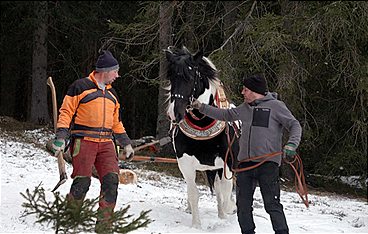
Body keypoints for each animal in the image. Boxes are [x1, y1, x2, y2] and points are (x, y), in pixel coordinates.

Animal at [164, 45, 239, 229]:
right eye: (171, 77)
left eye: (190, 77)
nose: (174, 113)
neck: (203, 123)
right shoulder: (185, 164)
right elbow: (193, 194)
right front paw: (196, 225)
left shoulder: (227, 164)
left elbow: (226, 192)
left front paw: (227, 214)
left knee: (221, 191)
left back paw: (223, 214)